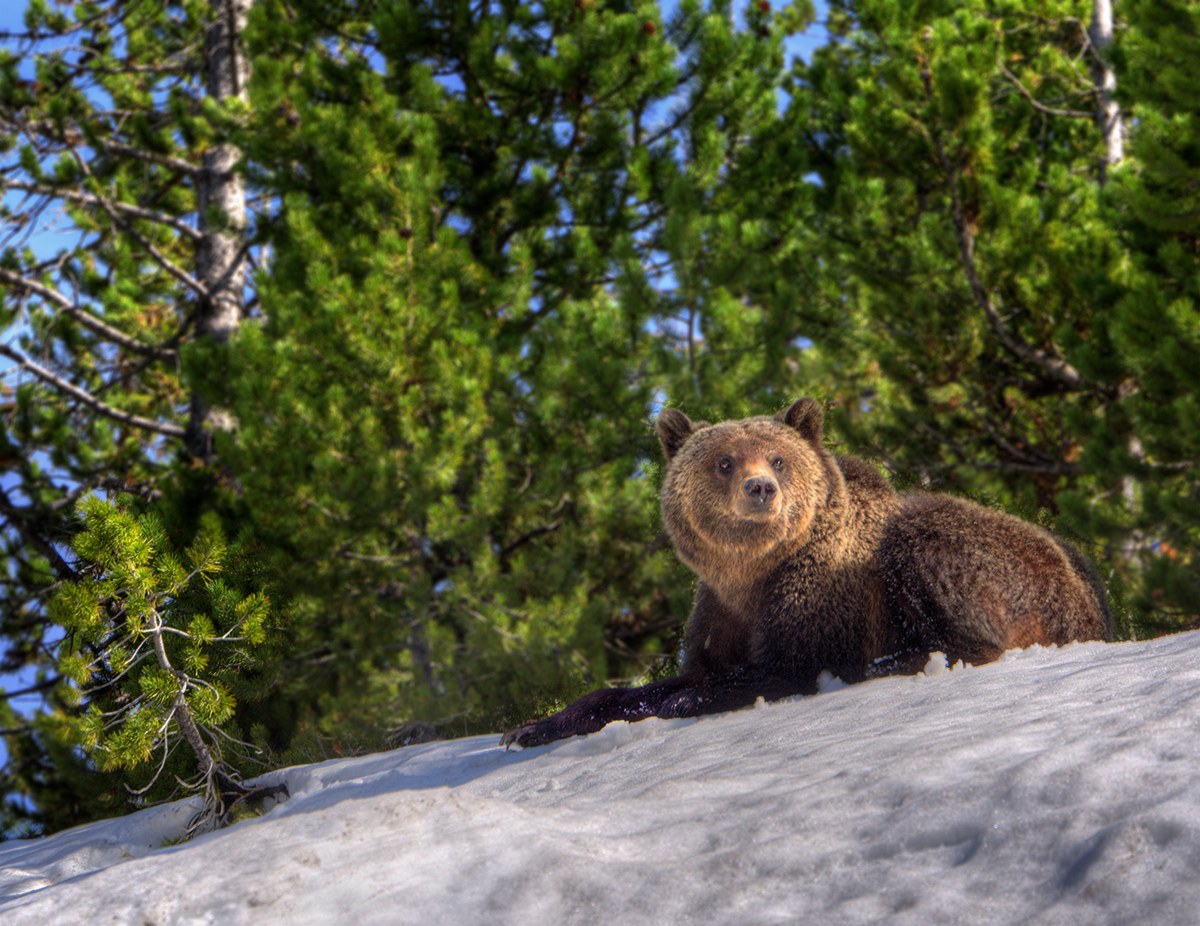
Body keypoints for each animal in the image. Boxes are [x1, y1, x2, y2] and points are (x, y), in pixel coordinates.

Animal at [499, 393, 1113, 748]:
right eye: (724, 461)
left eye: (777, 457)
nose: (760, 488)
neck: (752, 572)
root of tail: (1094, 597)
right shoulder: (720, 611)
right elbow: (672, 677)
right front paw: (532, 726)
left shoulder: (821, 594)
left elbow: (787, 663)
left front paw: (691, 701)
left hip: (1003, 565)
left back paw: (898, 659)